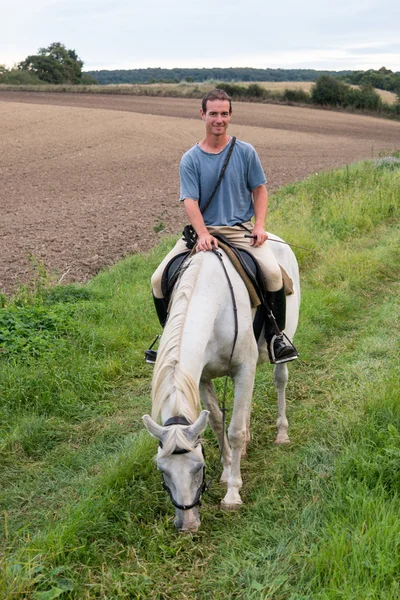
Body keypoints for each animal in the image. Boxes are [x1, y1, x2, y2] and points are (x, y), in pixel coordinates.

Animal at [142, 234, 298, 528]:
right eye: (162, 469)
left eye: (199, 467)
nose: (187, 524)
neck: (208, 297)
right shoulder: (202, 378)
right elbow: (216, 422)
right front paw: (227, 471)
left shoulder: (243, 368)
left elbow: (234, 430)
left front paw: (233, 493)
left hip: (285, 335)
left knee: (280, 379)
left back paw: (282, 433)